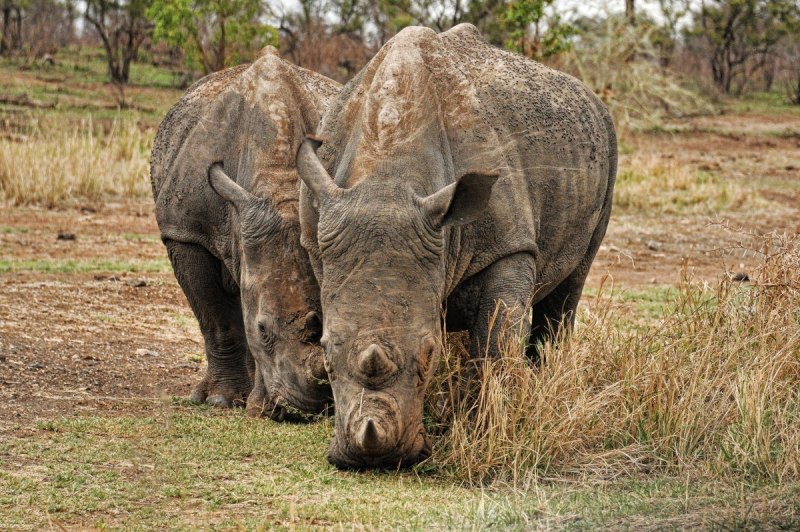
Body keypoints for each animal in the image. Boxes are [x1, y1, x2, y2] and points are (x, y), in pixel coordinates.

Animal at [296, 25, 617, 468]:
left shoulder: (509, 245)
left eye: (430, 353)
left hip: (606, 144)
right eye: (325, 353)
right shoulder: (318, 241)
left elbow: (497, 341)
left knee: (571, 284)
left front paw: (492, 428)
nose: (375, 458)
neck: (387, 178)